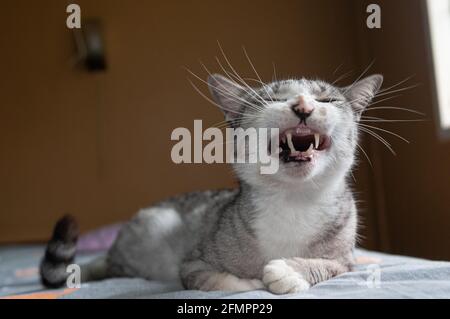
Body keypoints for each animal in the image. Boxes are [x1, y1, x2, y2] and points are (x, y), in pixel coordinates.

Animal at [40, 72, 382, 296]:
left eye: (327, 99)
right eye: (271, 98)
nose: (302, 105)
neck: (294, 203)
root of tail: (112, 252)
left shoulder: (347, 261)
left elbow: (325, 266)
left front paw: (289, 270)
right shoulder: (192, 264)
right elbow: (213, 280)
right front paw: (251, 282)